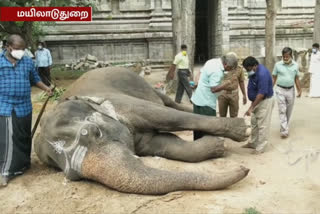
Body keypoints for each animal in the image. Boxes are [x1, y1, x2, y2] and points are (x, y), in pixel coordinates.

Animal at [33, 67, 251, 196]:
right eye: (72, 176)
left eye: (93, 132)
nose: (244, 169)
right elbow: (163, 143)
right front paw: (218, 145)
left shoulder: (120, 101)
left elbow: (162, 116)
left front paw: (244, 129)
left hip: (144, 85)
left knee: (168, 104)